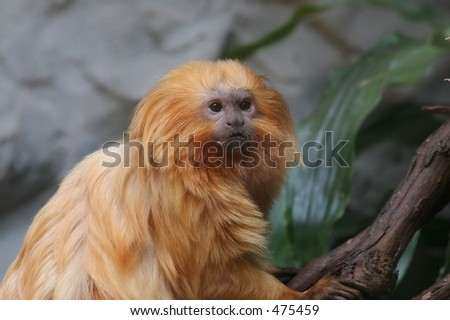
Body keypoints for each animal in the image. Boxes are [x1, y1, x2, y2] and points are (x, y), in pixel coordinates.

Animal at [0, 60, 362, 300]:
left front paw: (282, 271)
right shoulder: (180, 200)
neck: (197, 163)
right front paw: (308, 295)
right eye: (216, 107)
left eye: (245, 105)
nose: (236, 122)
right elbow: (209, 277)